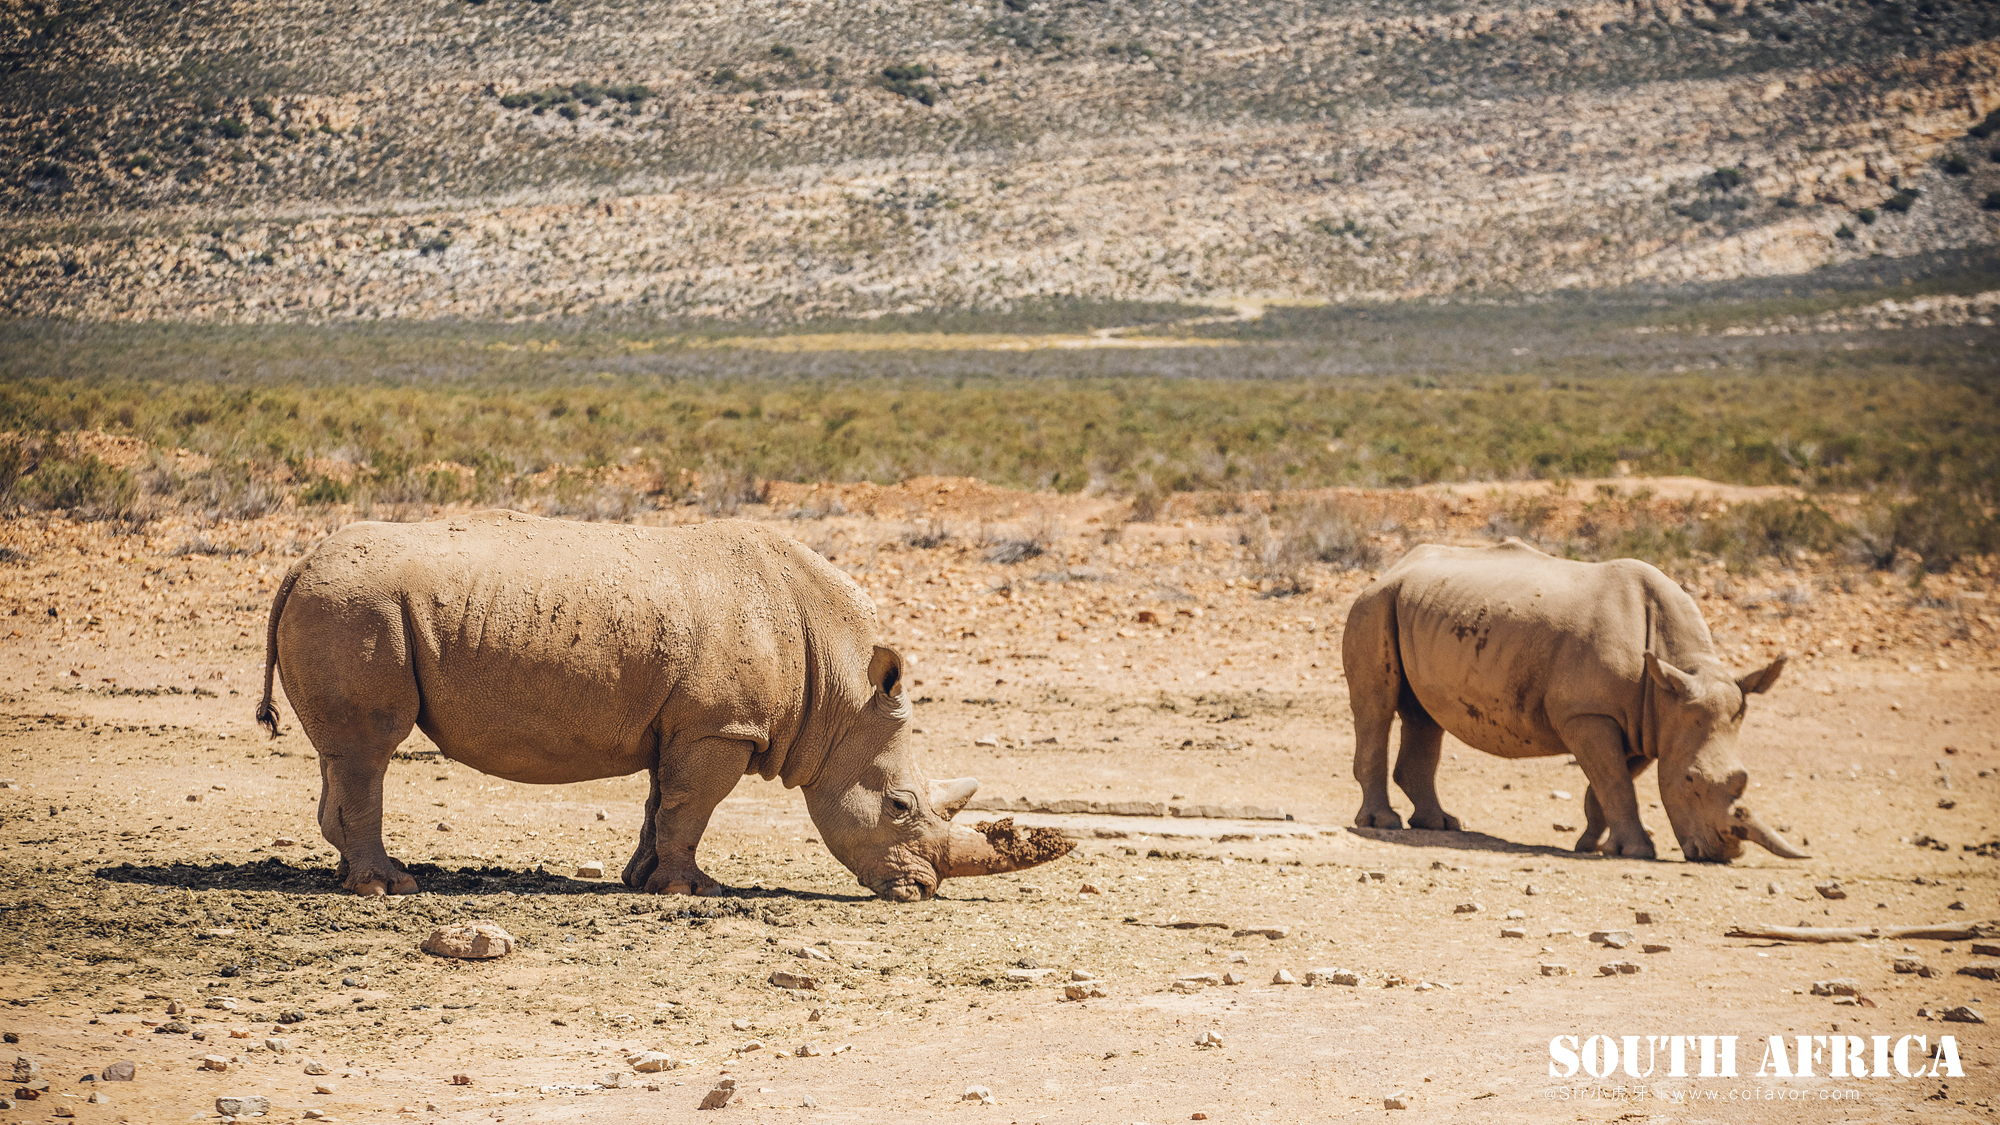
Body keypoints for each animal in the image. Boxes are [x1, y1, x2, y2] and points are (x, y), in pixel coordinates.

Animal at [256, 512, 1072, 896]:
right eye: (900, 806)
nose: (921, 890)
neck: (843, 690)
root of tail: (297, 564)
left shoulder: (685, 722)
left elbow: (661, 801)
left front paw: (640, 880)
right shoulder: (722, 727)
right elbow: (691, 805)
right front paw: (694, 890)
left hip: (348, 601)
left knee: (345, 756)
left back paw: (360, 876)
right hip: (359, 606)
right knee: (372, 748)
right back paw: (390, 887)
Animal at [1352, 532, 1808, 856]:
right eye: (1691, 780)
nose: (1720, 854)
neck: (1679, 673)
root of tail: (1395, 567)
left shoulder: (1648, 720)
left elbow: (1609, 783)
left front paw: (1591, 846)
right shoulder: (1588, 713)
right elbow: (1615, 780)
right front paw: (1637, 852)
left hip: (1419, 606)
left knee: (1425, 716)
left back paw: (1440, 824)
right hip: (1374, 604)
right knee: (1377, 708)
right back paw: (1384, 824)